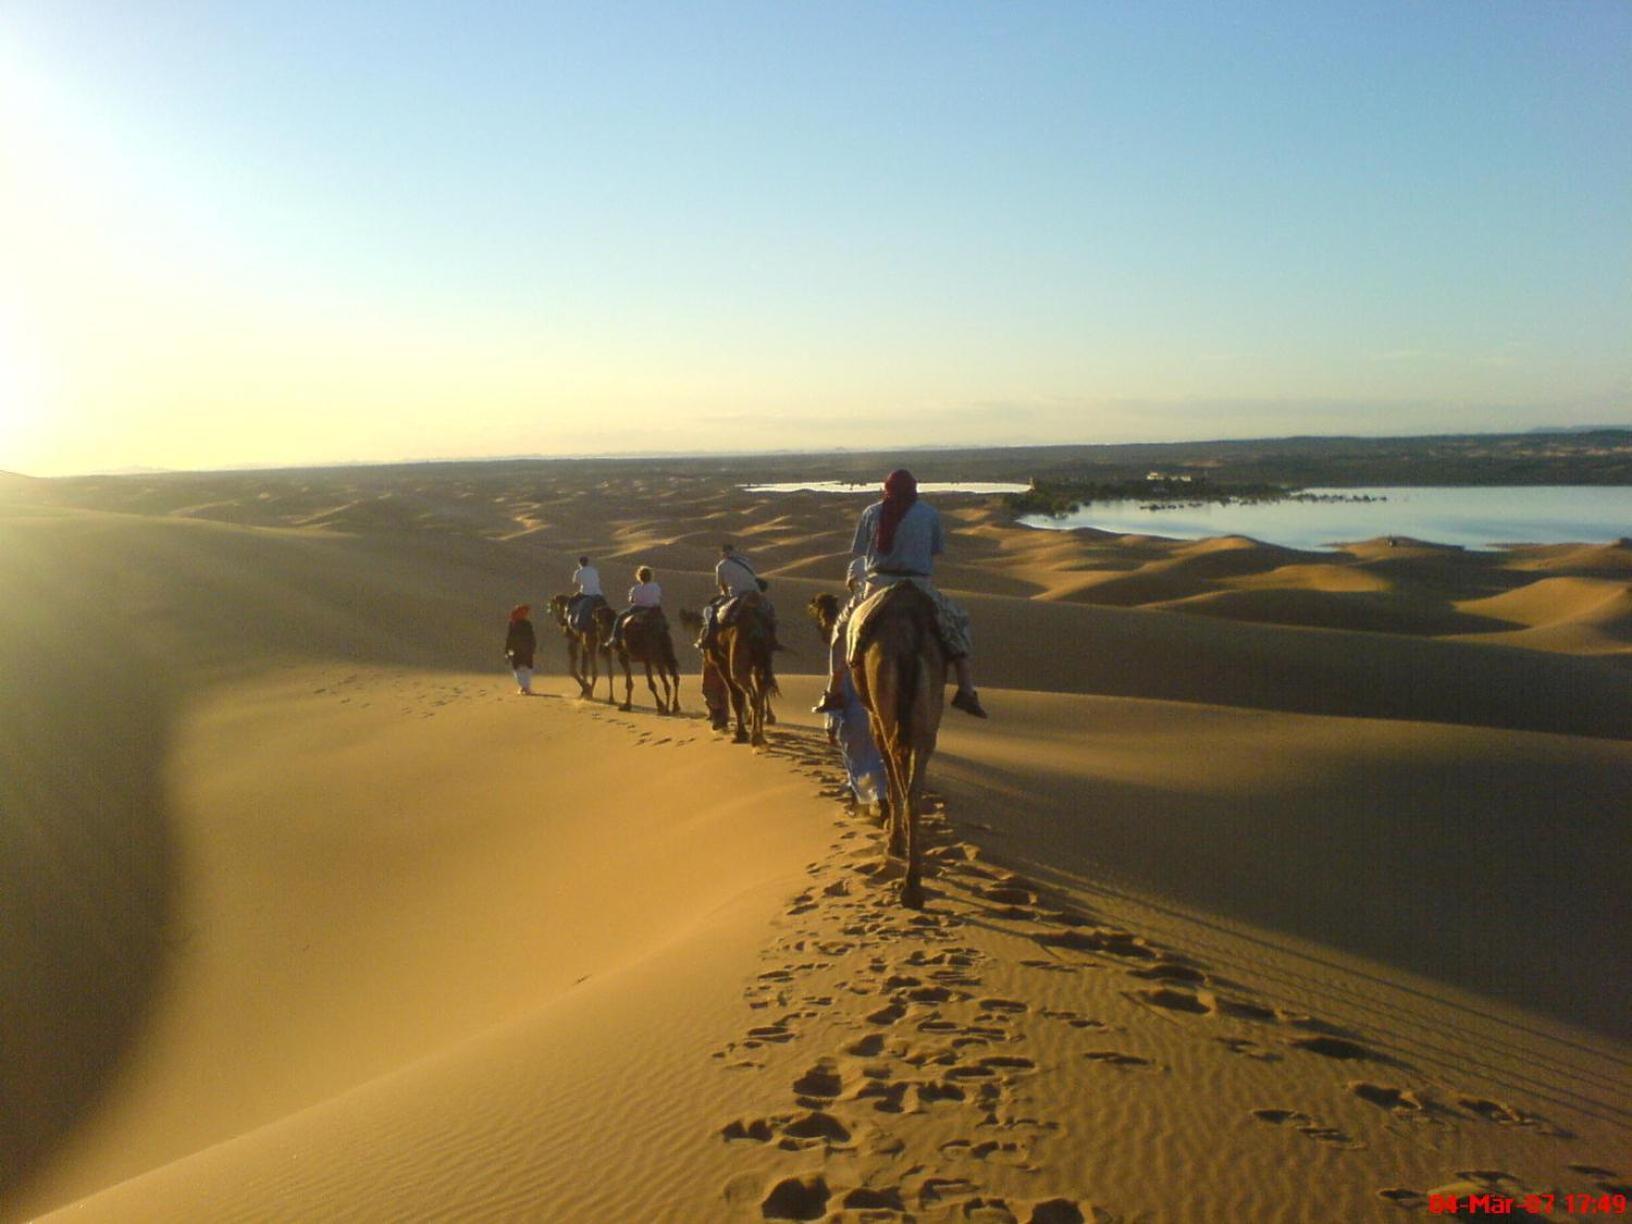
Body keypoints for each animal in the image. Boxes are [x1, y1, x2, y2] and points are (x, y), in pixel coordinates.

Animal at [842, 584, 946, 913]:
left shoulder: (875, 716)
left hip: (884, 702)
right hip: (927, 713)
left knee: (897, 767)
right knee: (914, 787)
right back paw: (914, 885)